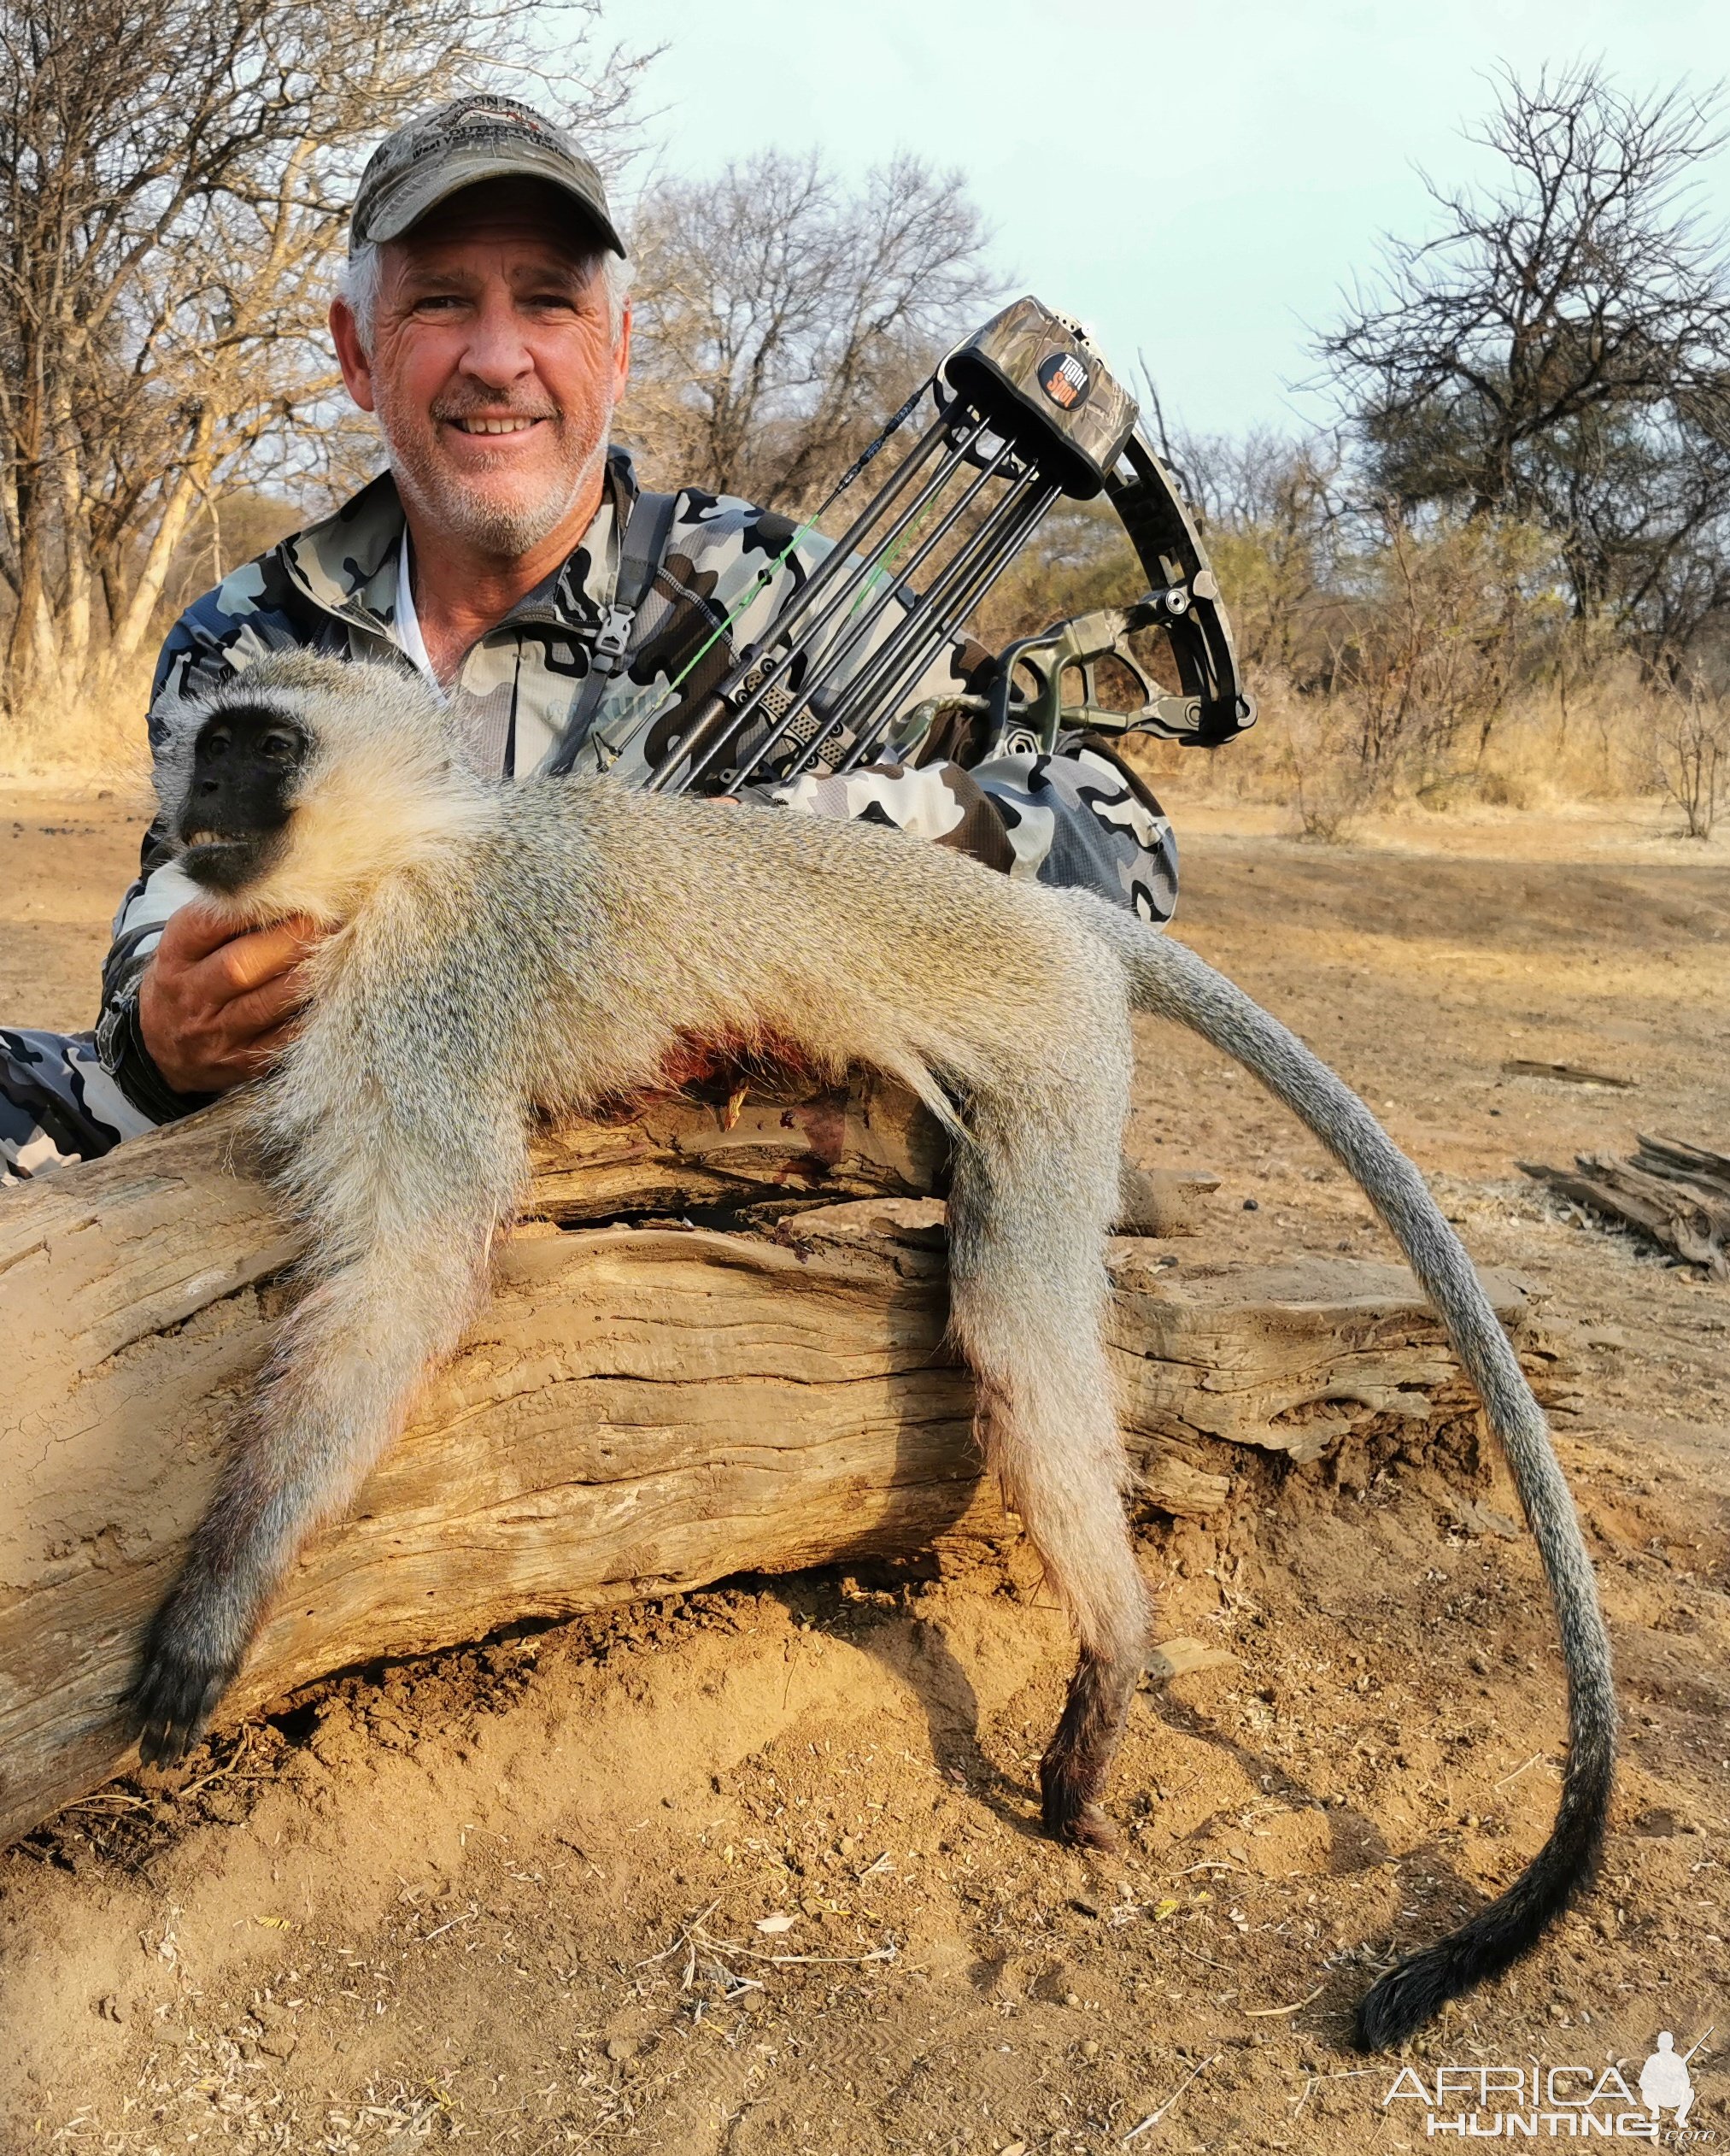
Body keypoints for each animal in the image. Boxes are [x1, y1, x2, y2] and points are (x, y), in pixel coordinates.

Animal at [135, 646, 1620, 2043]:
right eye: (209, 743)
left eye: (263, 746)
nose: (190, 808)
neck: (418, 844)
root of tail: (1045, 909)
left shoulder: (428, 994)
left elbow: (411, 1271)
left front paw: (223, 1590)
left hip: (1057, 1050)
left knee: (1019, 1322)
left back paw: (1117, 1640)